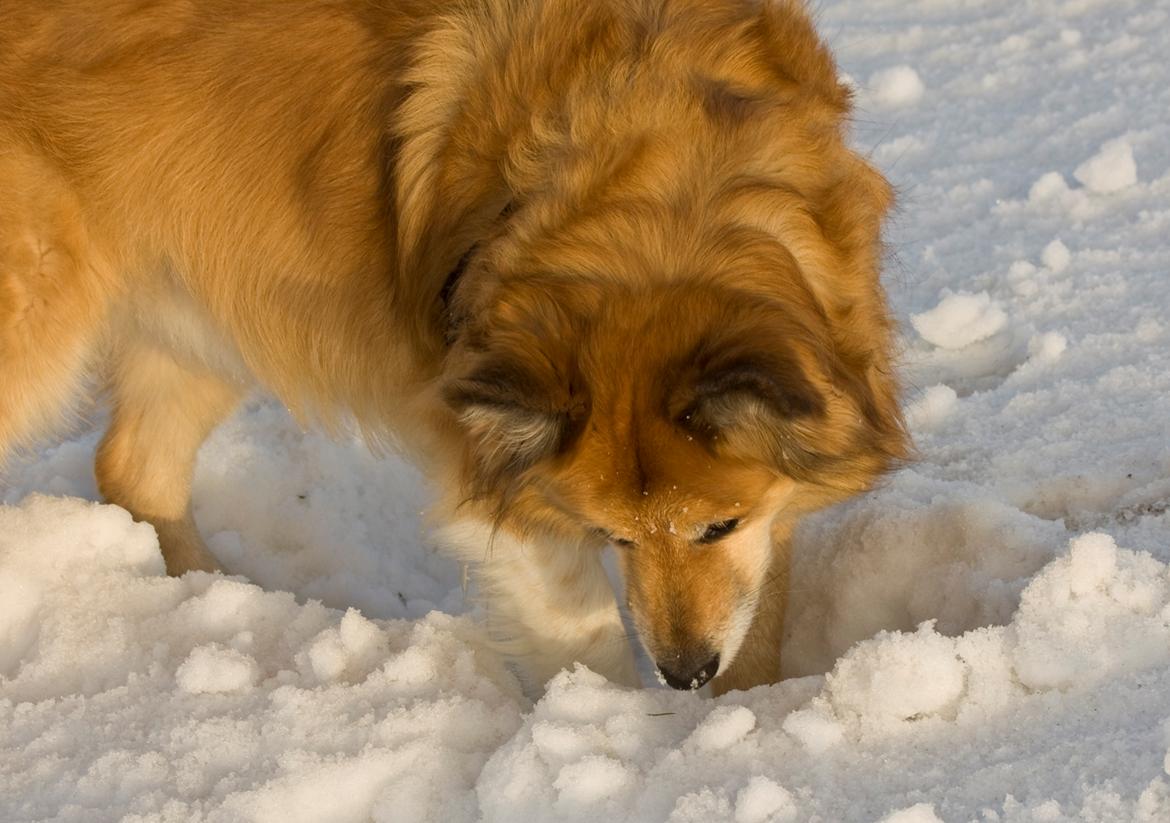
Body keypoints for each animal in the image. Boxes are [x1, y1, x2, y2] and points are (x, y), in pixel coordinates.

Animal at [0, 0, 903, 693]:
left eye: (718, 525)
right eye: (612, 535)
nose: (682, 674)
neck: (665, 201)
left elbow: (760, 598)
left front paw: (745, 712)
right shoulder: (484, 447)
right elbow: (573, 615)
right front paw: (612, 721)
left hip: (197, 318)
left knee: (132, 466)